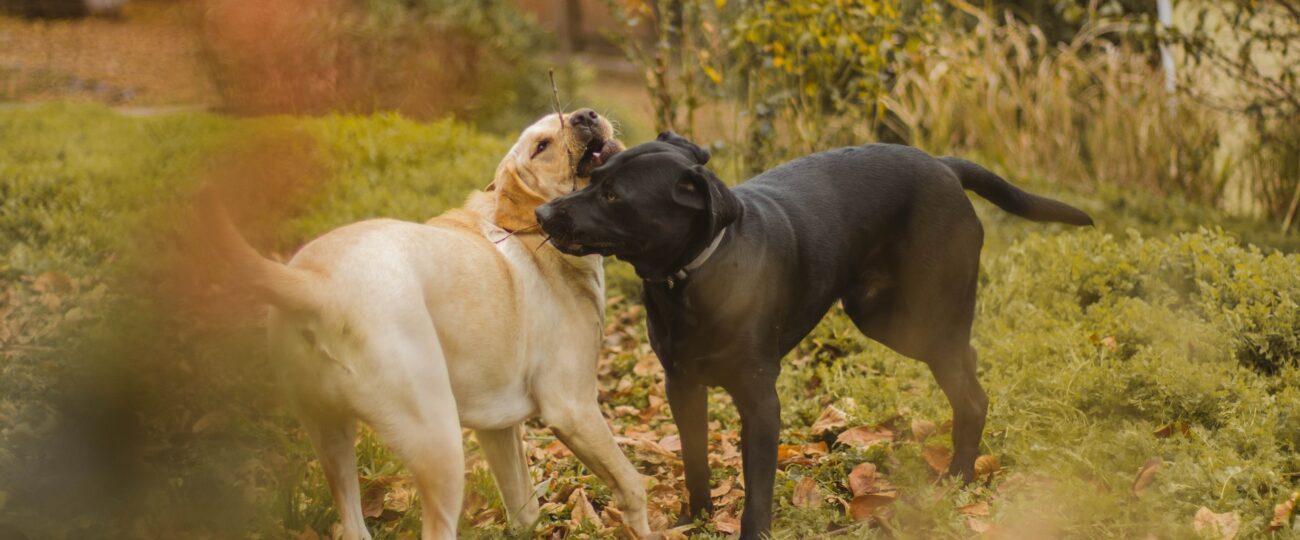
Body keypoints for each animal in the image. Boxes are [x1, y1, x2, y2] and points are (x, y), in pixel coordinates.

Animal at [204, 108, 650, 536]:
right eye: (542, 146)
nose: (585, 115)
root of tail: (317, 284)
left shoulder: (498, 429)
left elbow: (525, 510)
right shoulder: (573, 407)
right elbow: (632, 485)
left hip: (330, 437)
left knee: (352, 526)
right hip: (439, 442)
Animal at [533, 133, 1092, 538]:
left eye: (613, 196)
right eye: (592, 173)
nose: (542, 214)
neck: (694, 275)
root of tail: (945, 165)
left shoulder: (760, 399)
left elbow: (758, 489)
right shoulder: (682, 386)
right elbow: (694, 461)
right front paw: (696, 518)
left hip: (923, 319)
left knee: (971, 394)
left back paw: (958, 477)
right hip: (885, 318)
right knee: (967, 362)